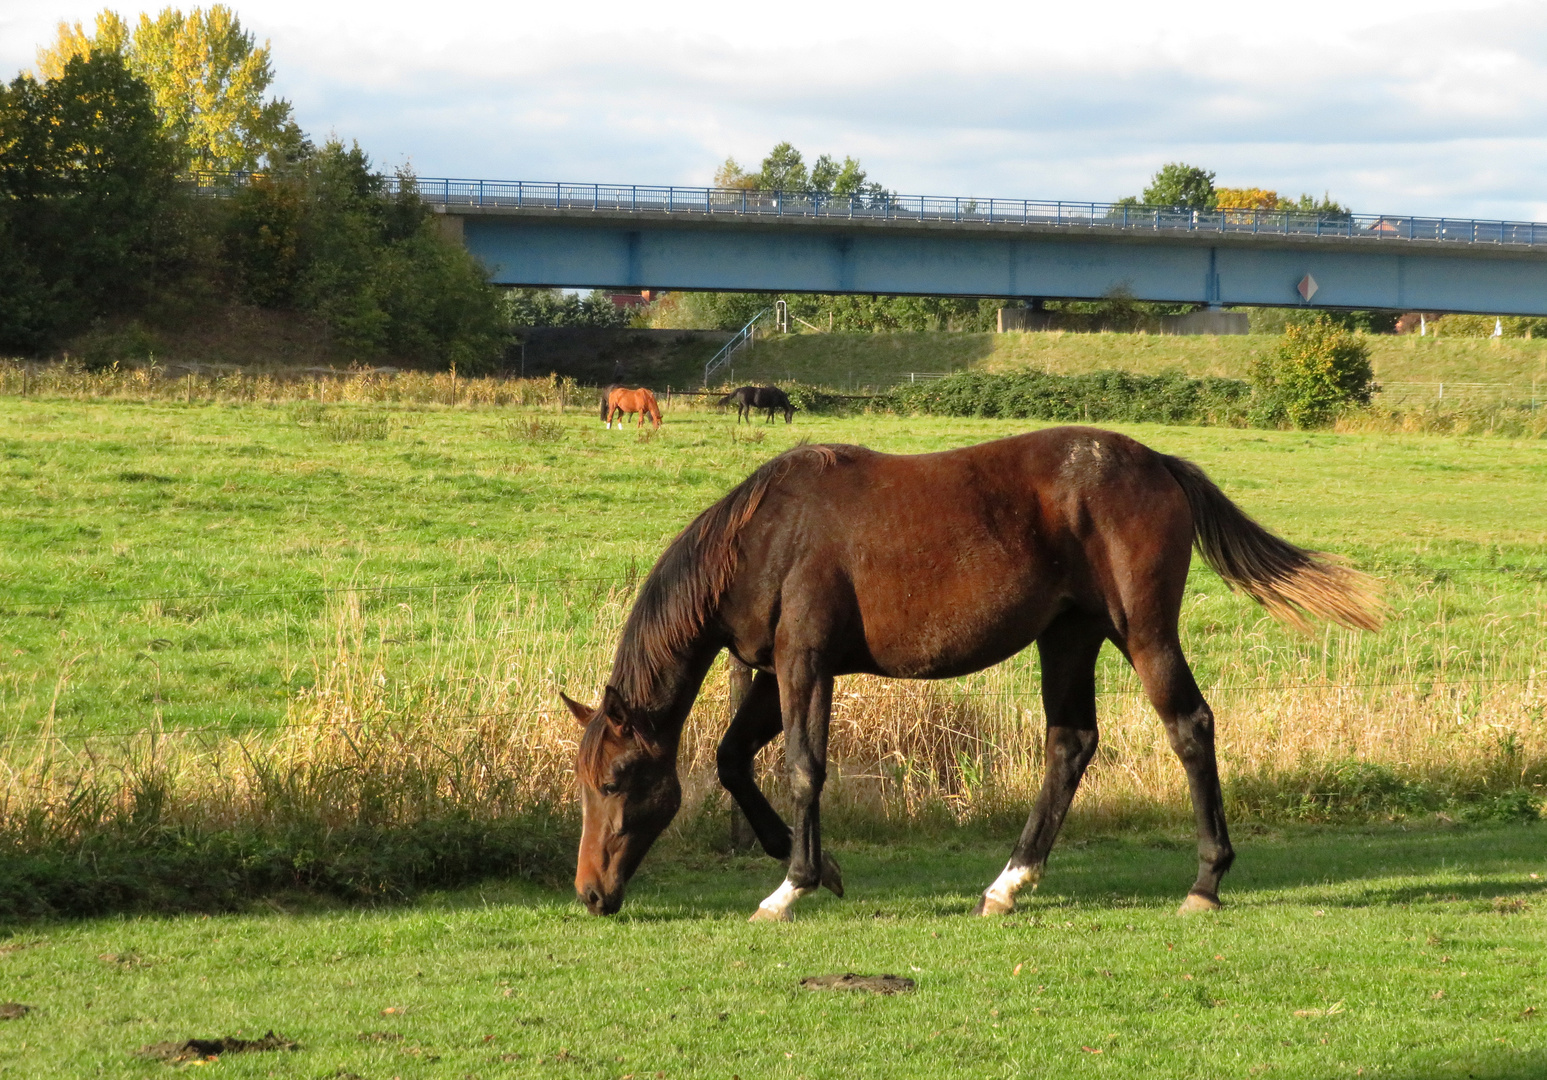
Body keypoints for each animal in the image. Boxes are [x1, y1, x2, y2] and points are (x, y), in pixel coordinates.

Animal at [563, 420, 1386, 915]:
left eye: (616, 781)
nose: (589, 894)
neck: (767, 533)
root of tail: (1157, 463)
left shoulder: (806, 664)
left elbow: (802, 768)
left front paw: (792, 885)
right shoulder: (772, 673)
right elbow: (733, 760)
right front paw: (819, 865)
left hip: (1144, 634)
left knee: (1189, 727)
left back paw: (1206, 881)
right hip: (1069, 638)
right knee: (1070, 744)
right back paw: (1009, 882)